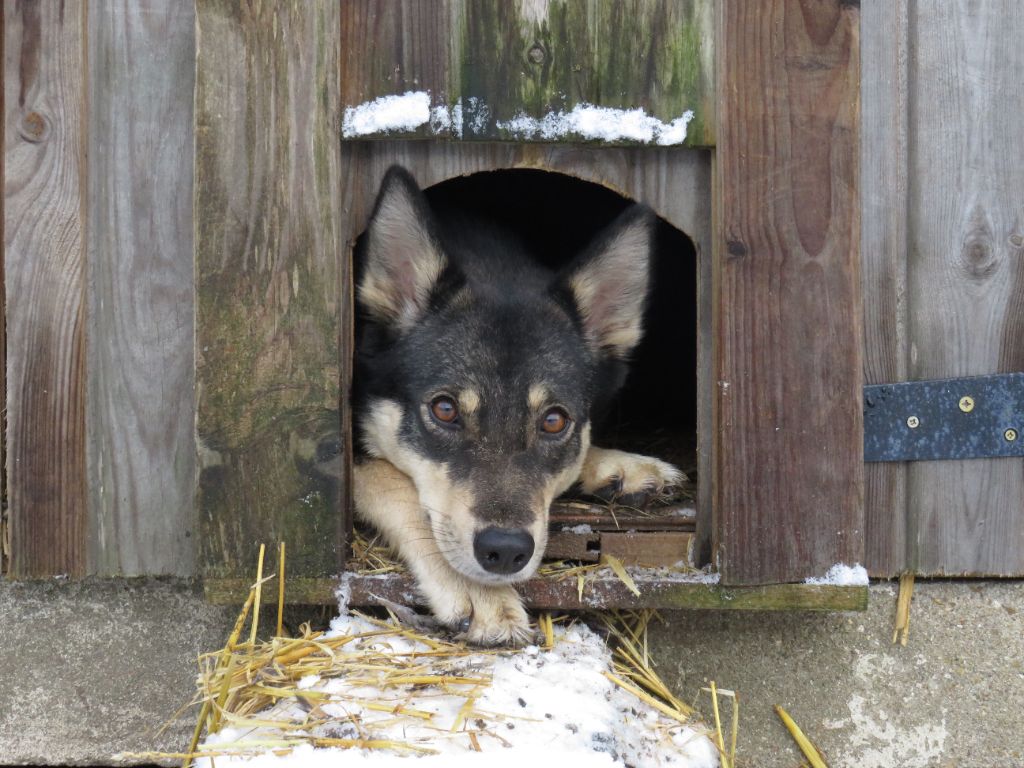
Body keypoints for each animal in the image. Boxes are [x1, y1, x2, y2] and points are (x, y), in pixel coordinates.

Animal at [350, 165, 679, 647]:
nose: (505, 551)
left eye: (554, 421)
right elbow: (393, 483)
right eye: (445, 410)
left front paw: (618, 464)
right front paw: (475, 590)